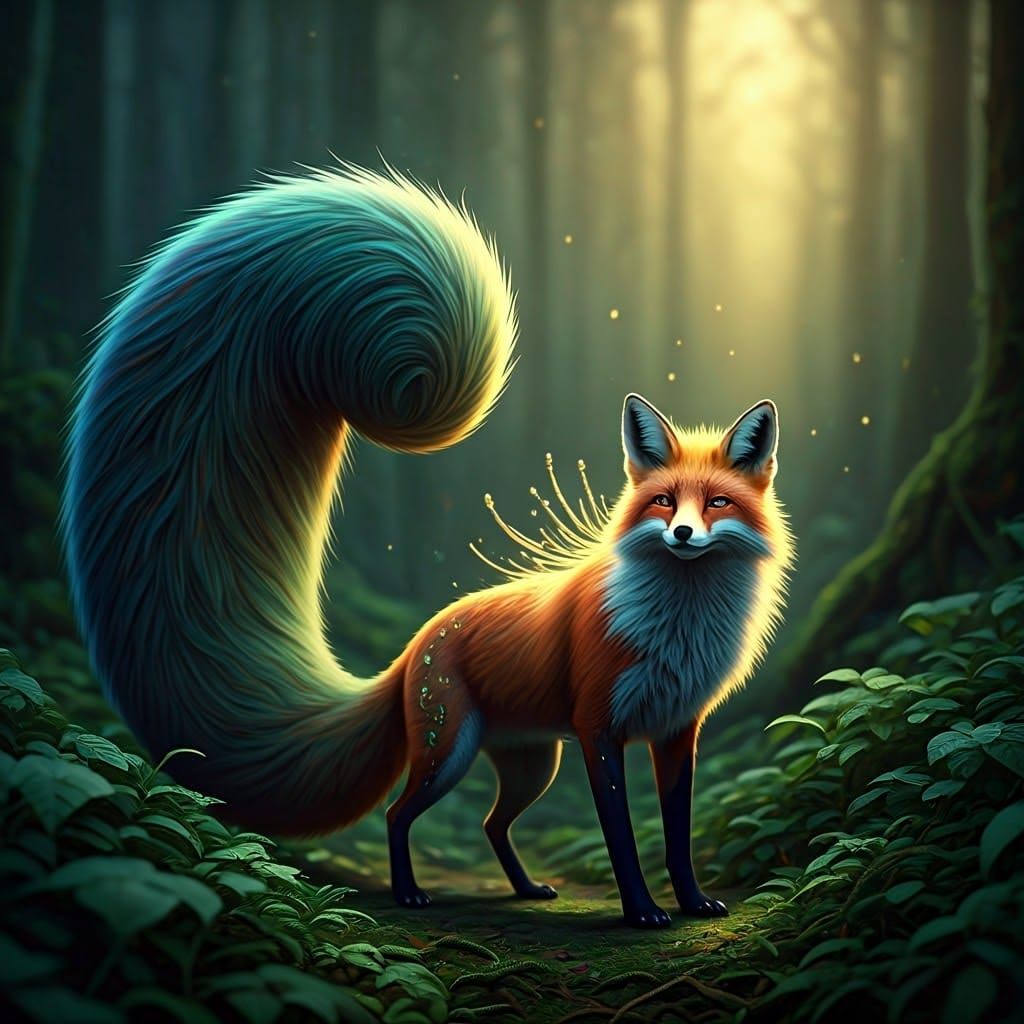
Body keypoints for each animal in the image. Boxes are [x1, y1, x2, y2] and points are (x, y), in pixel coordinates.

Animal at [62, 165, 794, 929]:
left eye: (716, 504)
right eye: (663, 503)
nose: (683, 534)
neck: (679, 627)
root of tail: (417, 641)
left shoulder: (679, 733)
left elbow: (677, 834)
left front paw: (692, 901)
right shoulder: (600, 728)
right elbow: (622, 836)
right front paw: (641, 911)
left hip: (531, 764)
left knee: (492, 825)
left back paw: (524, 888)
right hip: (453, 752)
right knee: (397, 813)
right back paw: (411, 892)